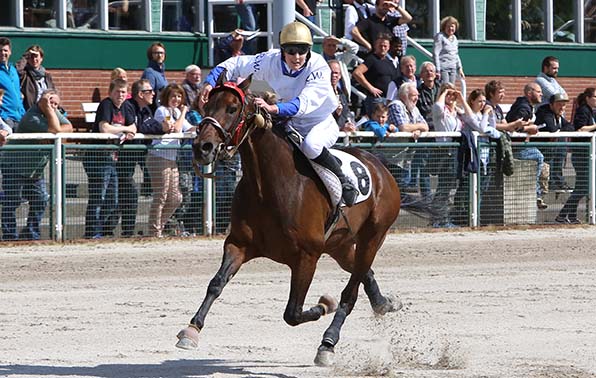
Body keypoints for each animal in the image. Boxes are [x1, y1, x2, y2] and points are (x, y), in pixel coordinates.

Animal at [176, 71, 400, 366]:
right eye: (206, 106)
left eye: (232, 108)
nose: (203, 147)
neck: (268, 186)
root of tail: (381, 169)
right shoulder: (238, 244)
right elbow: (216, 284)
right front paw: (192, 329)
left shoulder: (306, 256)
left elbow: (292, 313)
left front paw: (324, 305)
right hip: (339, 245)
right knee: (364, 273)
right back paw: (383, 303)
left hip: (372, 238)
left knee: (350, 293)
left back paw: (328, 343)